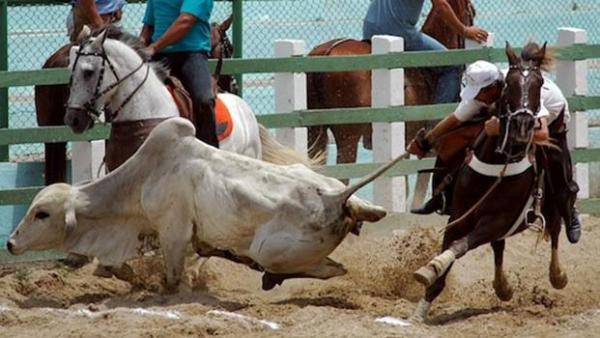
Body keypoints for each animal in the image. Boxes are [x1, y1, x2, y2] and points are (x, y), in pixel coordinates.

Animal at [7, 118, 404, 290]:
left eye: (42, 213)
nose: (10, 243)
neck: (143, 179)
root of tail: (338, 198)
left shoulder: (173, 233)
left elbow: (171, 277)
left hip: (268, 249)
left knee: (327, 269)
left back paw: (269, 276)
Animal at [412, 42, 568, 322]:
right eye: (509, 84)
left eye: (539, 83)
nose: (522, 126)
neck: (495, 165)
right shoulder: (459, 217)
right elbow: (449, 255)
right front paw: (419, 311)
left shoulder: (497, 220)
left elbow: (460, 246)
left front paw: (433, 265)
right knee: (499, 246)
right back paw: (502, 287)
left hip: (551, 200)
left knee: (556, 227)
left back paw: (557, 274)